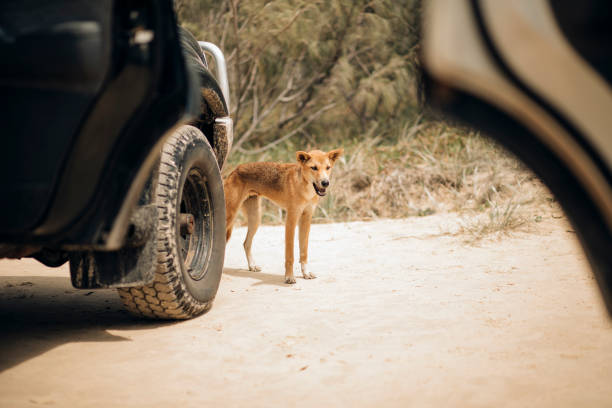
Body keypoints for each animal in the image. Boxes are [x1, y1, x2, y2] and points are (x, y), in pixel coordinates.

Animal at [224, 149, 342, 284]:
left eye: (328, 167)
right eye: (314, 168)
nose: (325, 183)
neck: (304, 188)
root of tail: (236, 169)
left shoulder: (306, 219)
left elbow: (304, 252)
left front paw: (306, 273)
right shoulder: (291, 220)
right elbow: (290, 255)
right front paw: (289, 277)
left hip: (255, 219)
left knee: (246, 243)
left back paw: (252, 266)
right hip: (230, 215)